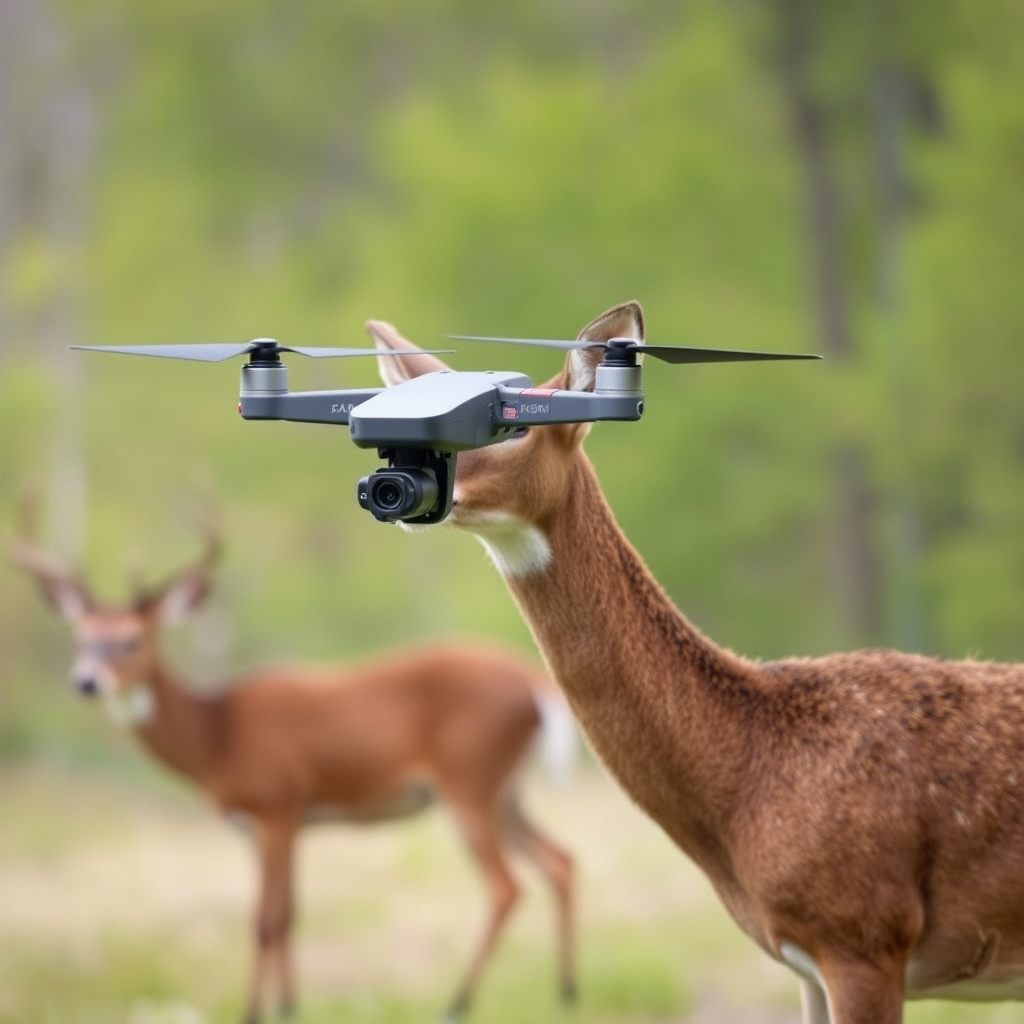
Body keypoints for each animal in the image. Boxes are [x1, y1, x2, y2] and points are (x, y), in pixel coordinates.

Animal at [11, 523, 576, 1024]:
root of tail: (533, 681)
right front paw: (288, 1007)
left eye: (131, 640)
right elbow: (289, 913)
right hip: (506, 792)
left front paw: (254, 1013)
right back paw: (565, 994)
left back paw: (456, 1005)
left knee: (506, 887)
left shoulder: (276, 807)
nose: (85, 681)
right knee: (560, 861)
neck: (216, 738)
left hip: (469, 784)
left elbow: (265, 921)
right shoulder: (278, 824)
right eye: (80, 639)